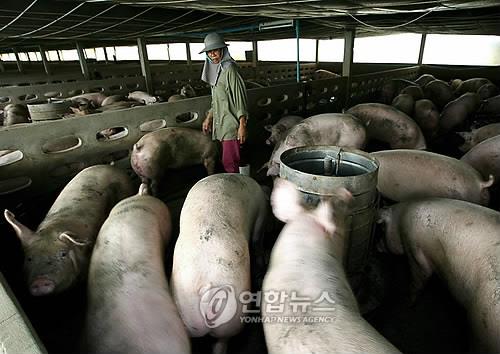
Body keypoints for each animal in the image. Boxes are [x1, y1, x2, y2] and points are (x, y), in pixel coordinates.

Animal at [378, 198, 500, 352]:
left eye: (382, 229)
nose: (376, 246)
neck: (400, 218)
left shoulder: (413, 246)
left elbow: (419, 277)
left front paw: (408, 304)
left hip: (483, 322)